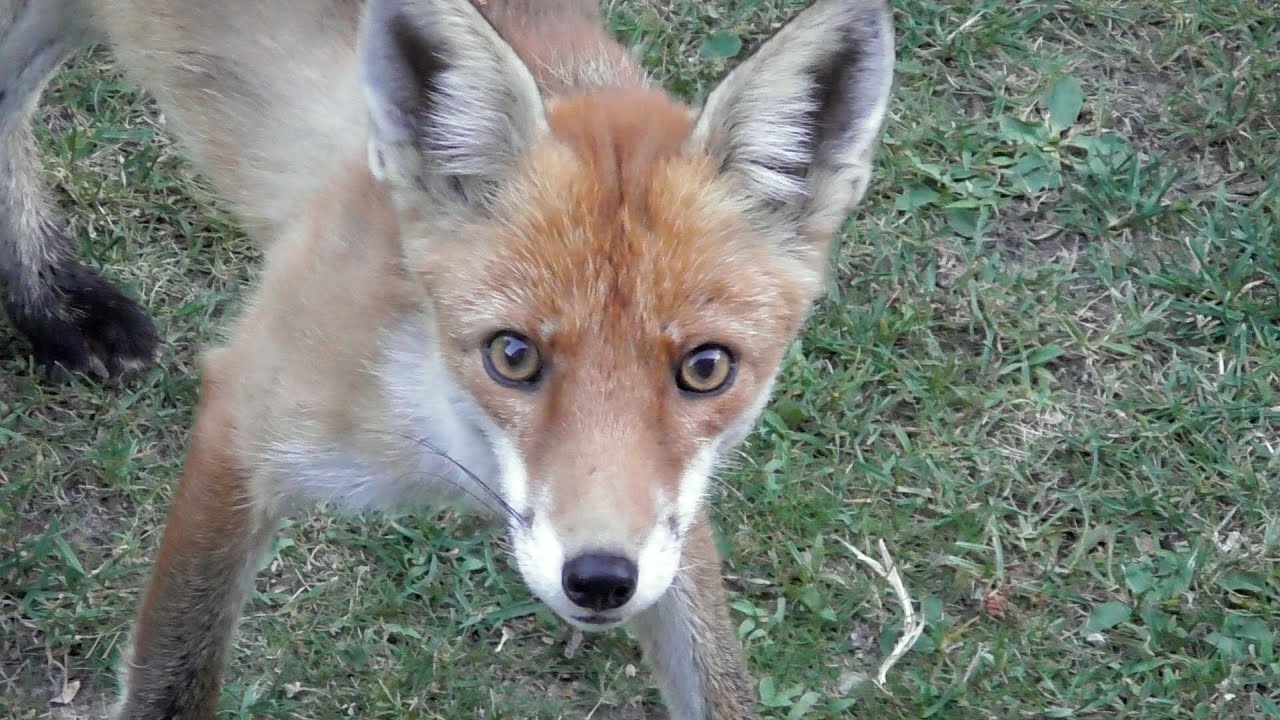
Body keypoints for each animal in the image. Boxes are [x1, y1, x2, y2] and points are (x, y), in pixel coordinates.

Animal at [1, 0, 895, 717]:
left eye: (706, 369)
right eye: (513, 356)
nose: (599, 580)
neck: (447, 443)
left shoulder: (666, 522)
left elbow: (719, 679)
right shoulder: (244, 416)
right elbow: (175, 681)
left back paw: (48, 300)